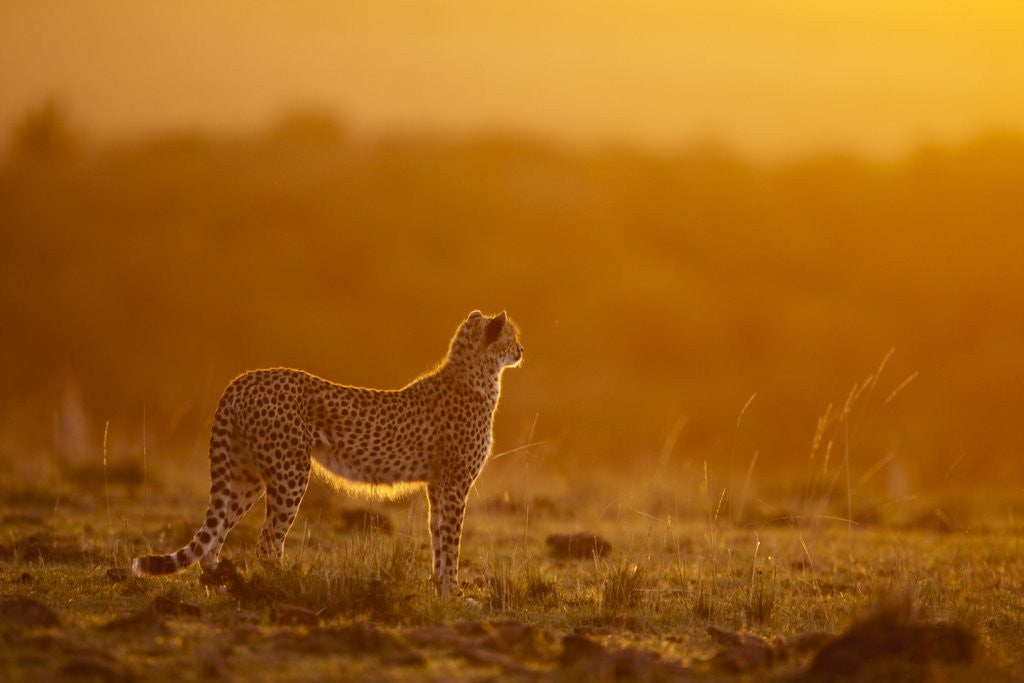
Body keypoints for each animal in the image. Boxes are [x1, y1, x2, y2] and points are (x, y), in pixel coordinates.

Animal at [131, 310, 523, 596]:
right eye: (512, 336)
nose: (522, 350)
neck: (476, 375)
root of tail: (244, 378)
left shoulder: (438, 485)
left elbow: (439, 539)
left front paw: (443, 592)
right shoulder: (455, 484)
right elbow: (452, 541)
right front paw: (456, 594)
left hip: (245, 476)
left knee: (214, 538)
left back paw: (223, 583)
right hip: (290, 473)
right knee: (267, 541)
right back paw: (286, 583)